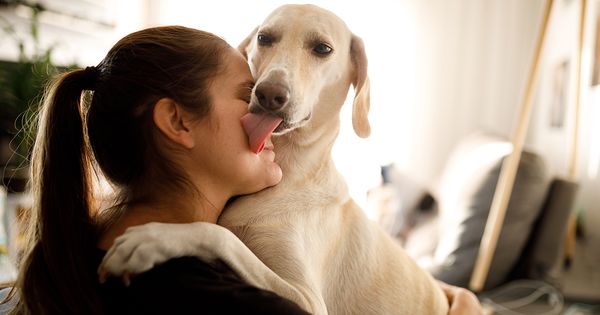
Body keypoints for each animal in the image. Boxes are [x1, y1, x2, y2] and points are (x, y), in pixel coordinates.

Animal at [103, 4, 450, 315]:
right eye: (264, 38)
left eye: (322, 48)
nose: (269, 94)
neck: (287, 170)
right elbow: (229, 236)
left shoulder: (308, 300)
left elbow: (222, 236)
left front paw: (155, 238)